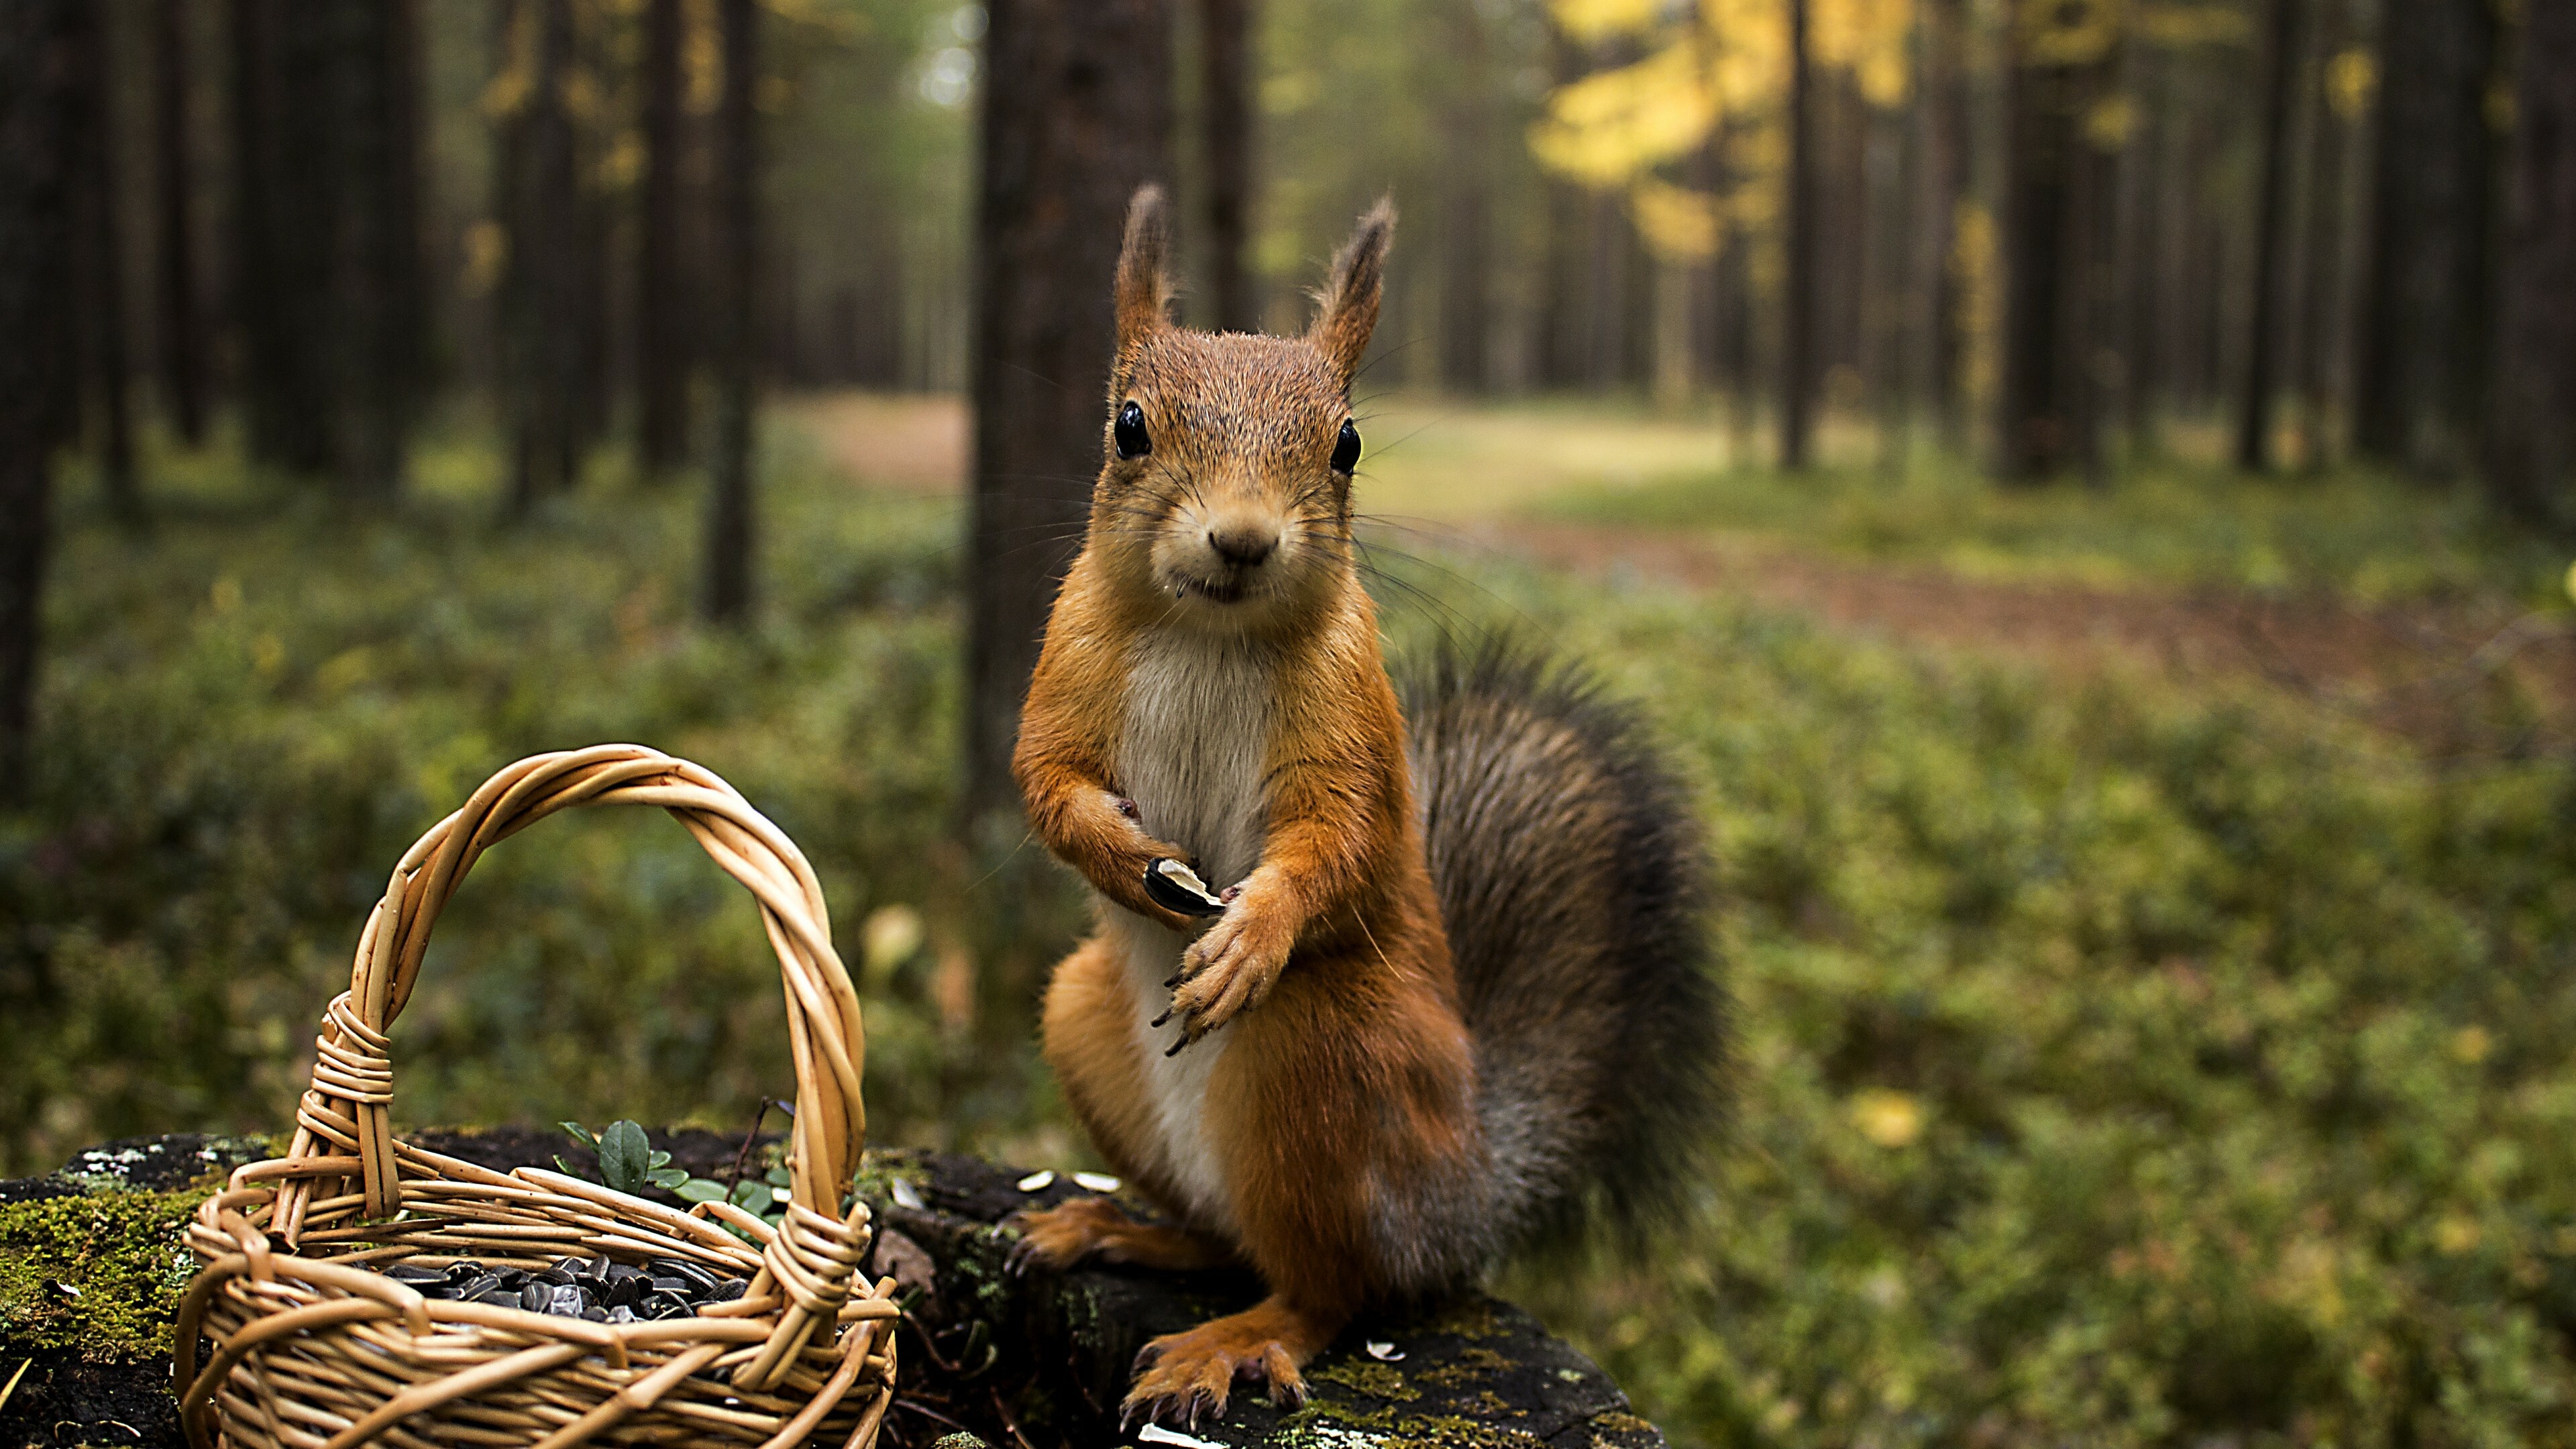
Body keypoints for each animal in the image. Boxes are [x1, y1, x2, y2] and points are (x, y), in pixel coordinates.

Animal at [1010, 189, 1731, 1423]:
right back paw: (1116, 1228)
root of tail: (1464, 1199)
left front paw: (1250, 934)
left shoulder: (1351, 721)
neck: (1206, 633)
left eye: (1345, 444)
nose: (1243, 539)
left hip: (1326, 1056)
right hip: (1083, 1020)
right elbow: (1047, 783)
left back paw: (1234, 1338)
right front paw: (1124, 859)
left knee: (1331, 1288)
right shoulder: (1066, 671)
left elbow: (1337, 840)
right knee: (1229, 1241)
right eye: (1129, 427)